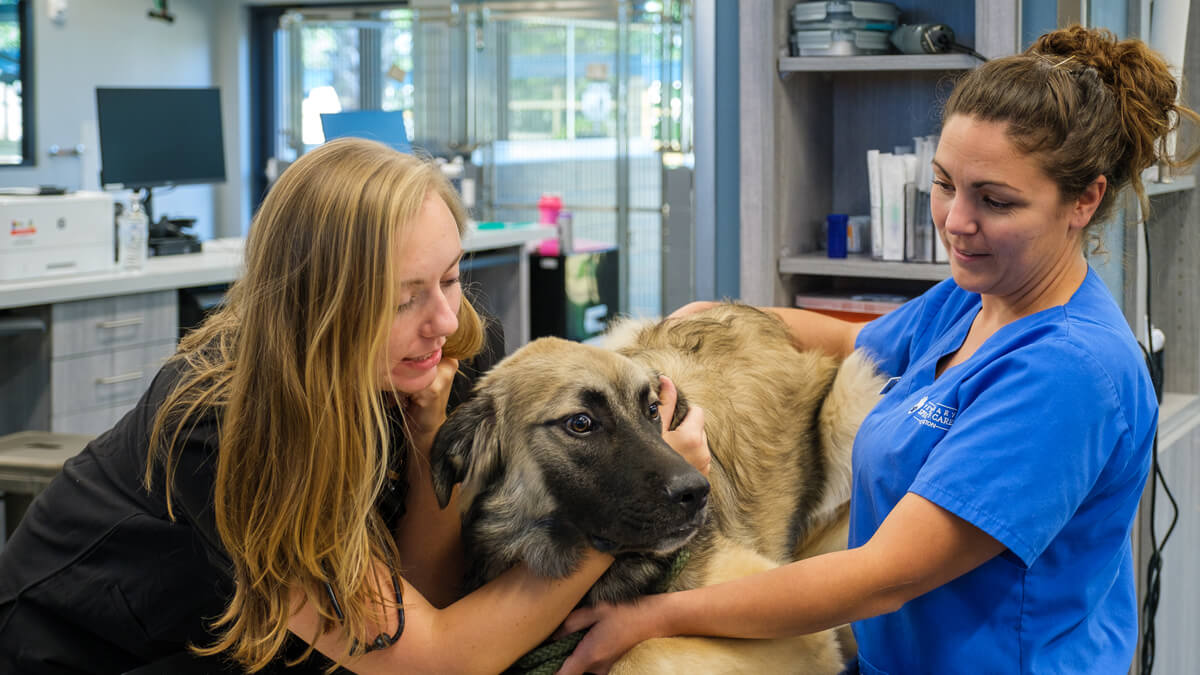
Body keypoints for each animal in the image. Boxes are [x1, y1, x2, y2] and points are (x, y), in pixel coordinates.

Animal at [432, 302, 883, 667]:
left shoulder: (802, 628)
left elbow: (641, 650)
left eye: (652, 410)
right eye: (581, 423)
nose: (697, 493)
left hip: (855, 389)